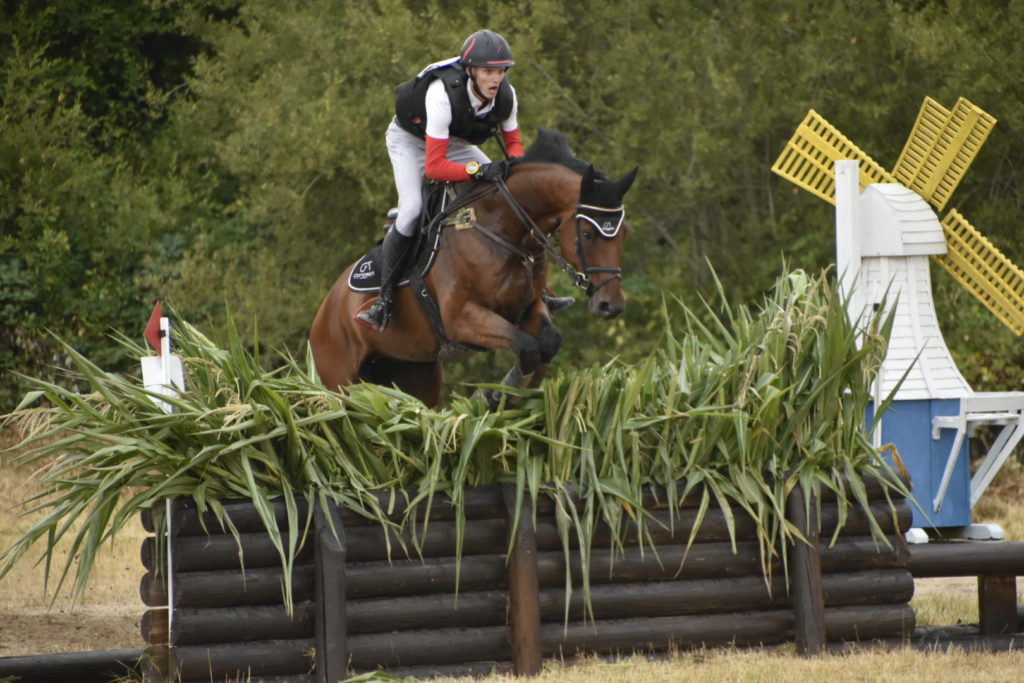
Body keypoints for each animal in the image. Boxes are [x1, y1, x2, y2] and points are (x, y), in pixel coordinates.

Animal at [307, 129, 634, 405]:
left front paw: (508, 393)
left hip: (413, 371)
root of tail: (326, 307)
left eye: (624, 232)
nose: (612, 305)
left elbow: (547, 343)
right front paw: (493, 396)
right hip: (339, 379)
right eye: (588, 234)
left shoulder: (528, 308)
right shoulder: (461, 318)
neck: (503, 227)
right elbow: (527, 348)